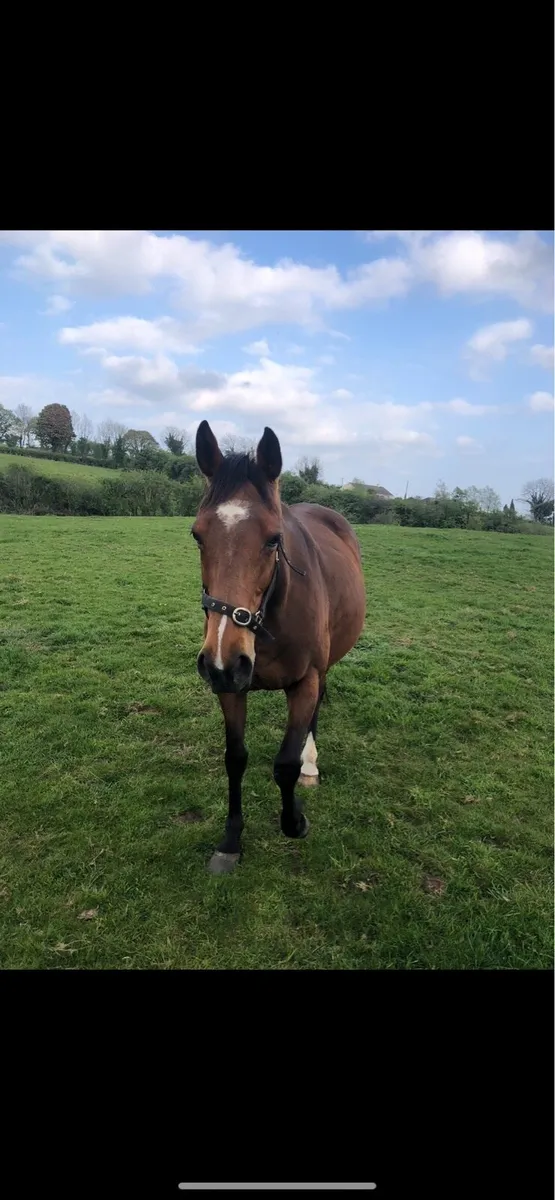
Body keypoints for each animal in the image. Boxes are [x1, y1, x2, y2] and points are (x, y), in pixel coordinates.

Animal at [192, 421, 366, 874]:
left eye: (274, 539)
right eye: (197, 536)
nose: (223, 657)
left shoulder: (304, 681)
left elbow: (284, 764)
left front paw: (295, 821)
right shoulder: (229, 686)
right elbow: (235, 757)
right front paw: (231, 840)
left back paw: (311, 763)